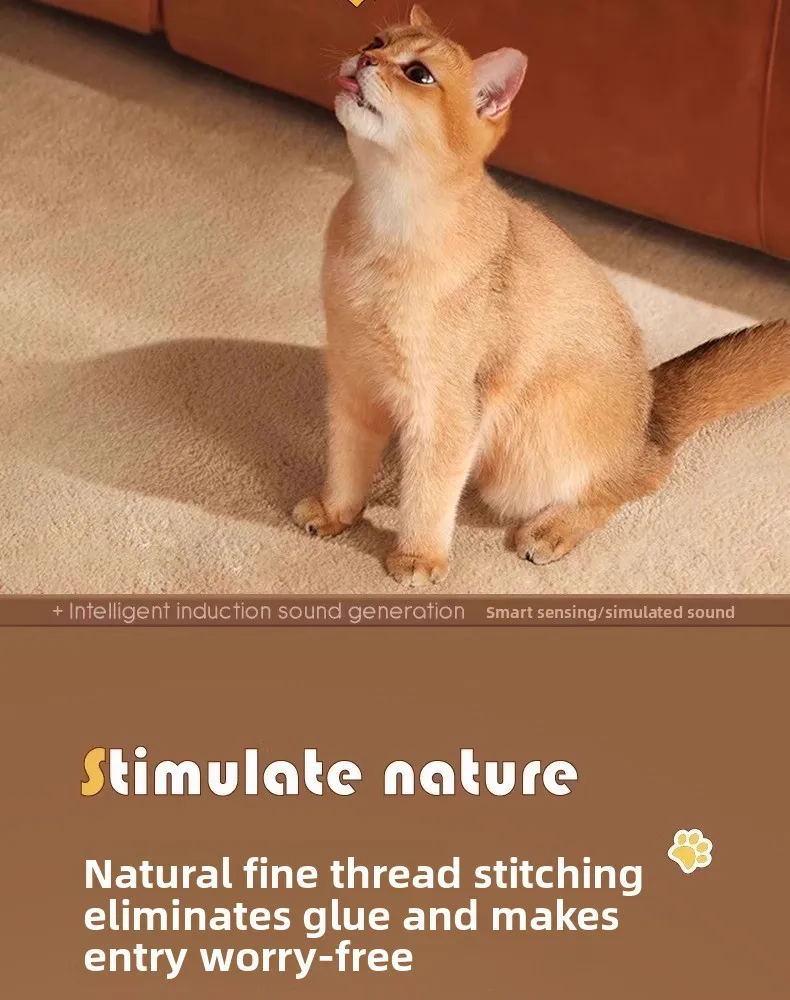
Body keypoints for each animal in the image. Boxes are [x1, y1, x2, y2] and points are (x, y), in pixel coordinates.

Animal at [294, 4, 789, 587]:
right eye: (376, 40)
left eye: (418, 74)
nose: (365, 59)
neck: (383, 224)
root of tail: (649, 407)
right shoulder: (352, 379)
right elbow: (346, 460)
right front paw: (336, 513)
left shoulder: (446, 408)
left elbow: (431, 494)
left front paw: (417, 558)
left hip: (528, 462)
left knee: (641, 477)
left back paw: (552, 530)